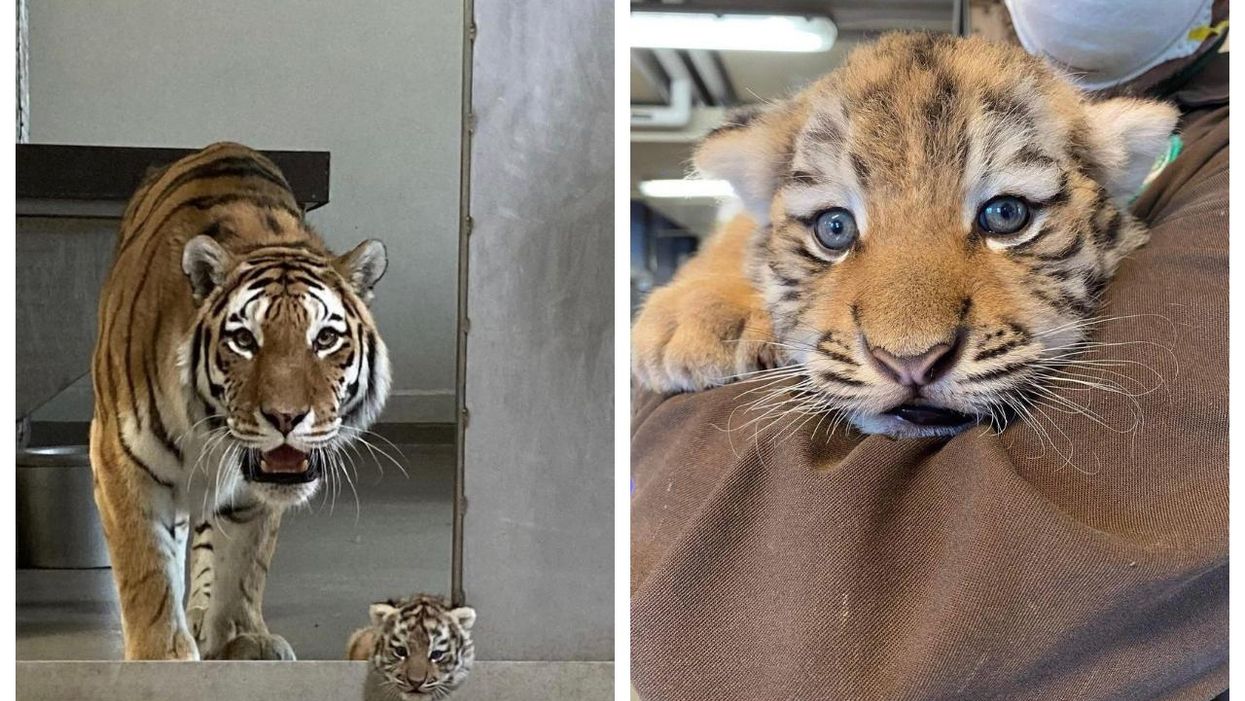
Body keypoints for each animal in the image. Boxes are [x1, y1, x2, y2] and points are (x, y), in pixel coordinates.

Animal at [89, 142, 391, 660]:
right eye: (245, 340)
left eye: (325, 338)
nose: (286, 417)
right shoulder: (120, 459)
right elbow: (147, 571)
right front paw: (160, 656)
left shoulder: (256, 494)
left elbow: (244, 563)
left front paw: (240, 639)